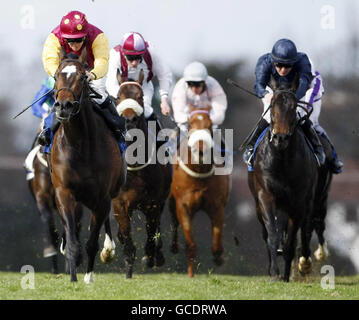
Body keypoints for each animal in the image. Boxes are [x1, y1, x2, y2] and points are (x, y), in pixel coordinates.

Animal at [50, 48, 126, 282]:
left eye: (83, 77)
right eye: (56, 76)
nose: (63, 106)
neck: (80, 145)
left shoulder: (101, 197)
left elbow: (92, 242)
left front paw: (88, 277)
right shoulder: (64, 192)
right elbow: (73, 241)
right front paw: (73, 277)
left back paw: (108, 249)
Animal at [113, 71, 174, 278]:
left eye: (140, 97)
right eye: (118, 97)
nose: (129, 119)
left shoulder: (152, 204)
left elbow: (151, 233)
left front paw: (150, 256)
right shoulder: (121, 203)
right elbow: (127, 238)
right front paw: (128, 267)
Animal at [169, 105, 231, 278]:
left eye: (209, 126)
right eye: (190, 124)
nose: (201, 148)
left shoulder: (217, 206)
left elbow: (217, 241)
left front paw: (218, 258)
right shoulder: (183, 206)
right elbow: (190, 244)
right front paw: (190, 274)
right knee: (174, 221)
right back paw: (173, 246)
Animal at [249, 78, 334, 282]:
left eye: (294, 107)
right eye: (272, 105)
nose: (280, 137)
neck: (281, 161)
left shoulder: (299, 201)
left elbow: (293, 239)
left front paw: (289, 274)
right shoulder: (265, 196)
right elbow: (272, 235)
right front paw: (274, 273)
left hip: (319, 197)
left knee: (314, 224)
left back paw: (312, 257)